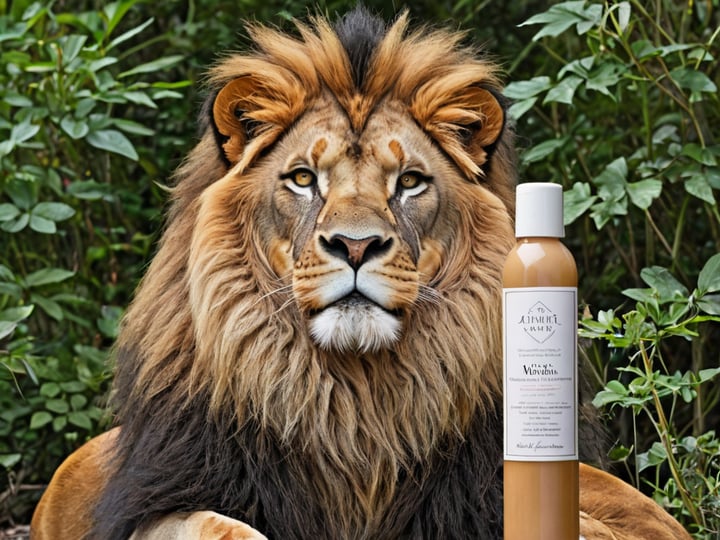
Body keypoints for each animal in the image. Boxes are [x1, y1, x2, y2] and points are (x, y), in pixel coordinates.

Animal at [31, 8, 691, 540]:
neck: (355, 412)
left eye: (410, 182)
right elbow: (221, 526)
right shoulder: (163, 497)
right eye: (303, 178)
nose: (355, 245)